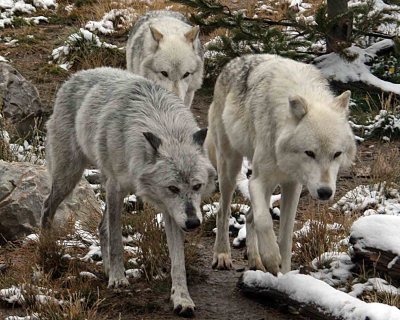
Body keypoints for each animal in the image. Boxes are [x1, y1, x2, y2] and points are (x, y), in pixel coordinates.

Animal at [40, 66, 216, 316]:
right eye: (173, 188)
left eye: (197, 186)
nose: (193, 224)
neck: (164, 124)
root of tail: (75, 76)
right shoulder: (117, 188)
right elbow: (116, 241)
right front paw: (118, 279)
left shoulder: (171, 211)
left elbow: (178, 262)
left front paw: (182, 298)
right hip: (69, 176)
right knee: (48, 207)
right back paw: (46, 249)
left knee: (101, 226)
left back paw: (104, 268)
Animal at [206, 53, 356, 274]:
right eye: (309, 153)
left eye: (336, 154)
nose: (325, 193)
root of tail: (235, 61)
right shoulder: (257, 181)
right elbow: (264, 220)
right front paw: (271, 257)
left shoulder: (293, 185)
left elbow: (285, 237)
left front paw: (284, 272)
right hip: (230, 169)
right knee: (223, 212)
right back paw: (222, 255)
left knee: (249, 216)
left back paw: (255, 260)